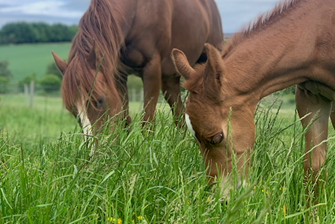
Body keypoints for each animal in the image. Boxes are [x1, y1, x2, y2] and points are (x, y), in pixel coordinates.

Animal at [51, 0, 223, 135]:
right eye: (72, 109)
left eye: (99, 100)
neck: (137, 12)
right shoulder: (118, 74)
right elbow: (124, 120)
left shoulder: (151, 68)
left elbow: (147, 121)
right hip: (170, 78)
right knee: (179, 115)